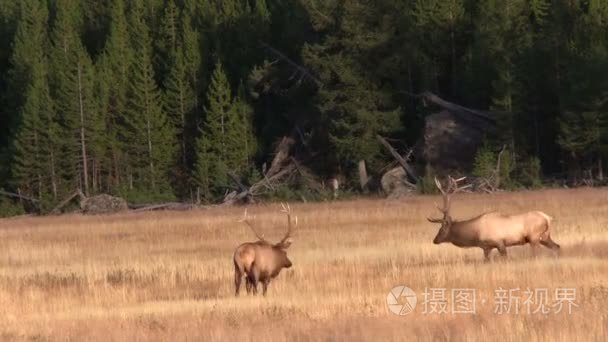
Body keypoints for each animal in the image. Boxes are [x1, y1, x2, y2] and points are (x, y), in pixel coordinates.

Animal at [428, 175, 560, 260]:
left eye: (441, 229)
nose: (435, 240)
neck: (475, 234)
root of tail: (548, 218)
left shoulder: (499, 242)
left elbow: (505, 258)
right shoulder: (486, 248)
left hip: (534, 237)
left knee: (538, 253)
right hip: (545, 236)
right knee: (557, 247)